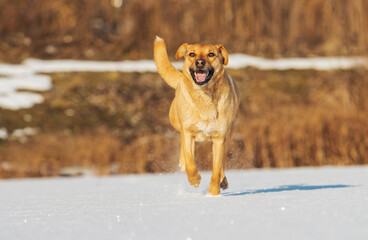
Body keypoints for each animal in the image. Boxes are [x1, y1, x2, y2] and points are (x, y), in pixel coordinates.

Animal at [154, 37, 240, 195]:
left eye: (211, 54)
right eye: (192, 54)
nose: (199, 62)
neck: (204, 97)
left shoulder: (219, 138)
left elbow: (216, 170)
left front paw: (213, 194)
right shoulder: (188, 132)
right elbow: (190, 162)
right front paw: (194, 179)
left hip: (226, 134)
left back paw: (223, 181)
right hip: (177, 122)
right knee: (184, 148)